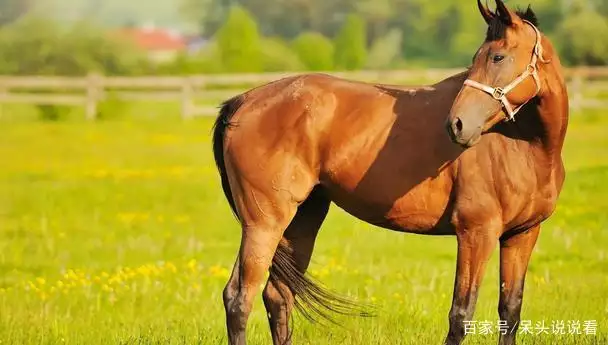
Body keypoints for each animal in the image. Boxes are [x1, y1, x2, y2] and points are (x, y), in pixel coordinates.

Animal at [211, 1, 568, 342]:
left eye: (497, 56)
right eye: (478, 57)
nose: (457, 125)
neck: (524, 145)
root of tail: (242, 102)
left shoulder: (522, 235)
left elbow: (510, 311)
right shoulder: (476, 233)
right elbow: (461, 314)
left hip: (301, 220)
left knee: (277, 296)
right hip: (264, 224)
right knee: (239, 298)